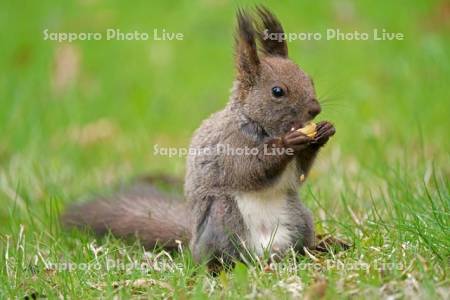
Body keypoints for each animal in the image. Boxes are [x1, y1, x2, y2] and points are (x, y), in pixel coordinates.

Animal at [61, 6, 340, 264]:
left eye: (310, 79)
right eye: (277, 91)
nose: (315, 109)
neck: (261, 127)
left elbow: (298, 174)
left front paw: (323, 133)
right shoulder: (230, 145)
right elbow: (249, 170)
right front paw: (287, 143)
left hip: (299, 217)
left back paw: (320, 247)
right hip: (223, 217)